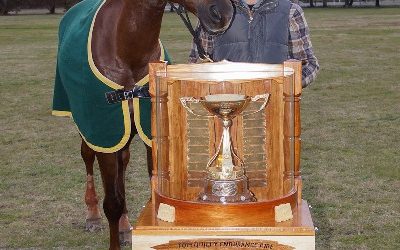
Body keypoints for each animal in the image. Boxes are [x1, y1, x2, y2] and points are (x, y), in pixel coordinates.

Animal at [52, 0, 234, 249]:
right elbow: (112, 203)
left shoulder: (148, 132)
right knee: (88, 158)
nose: (222, 13)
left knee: (123, 165)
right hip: (90, 129)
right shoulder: (104, 131)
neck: (126, 49)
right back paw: (92, 215)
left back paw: (124, 226)